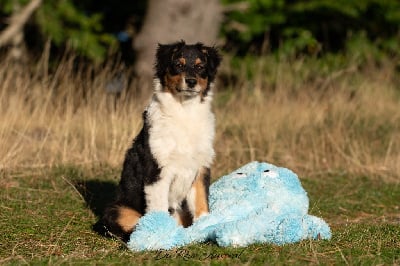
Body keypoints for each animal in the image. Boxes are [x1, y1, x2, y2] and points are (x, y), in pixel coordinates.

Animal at [97, 41, 222, 241]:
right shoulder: (156, 169)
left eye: (200, 66)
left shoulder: (201, 166)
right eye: (178, 64)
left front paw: (205, 228)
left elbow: (202, 202)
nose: (191, 81)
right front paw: (161, 235)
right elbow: (158, 207)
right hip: (116, 210)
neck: (185, 111)